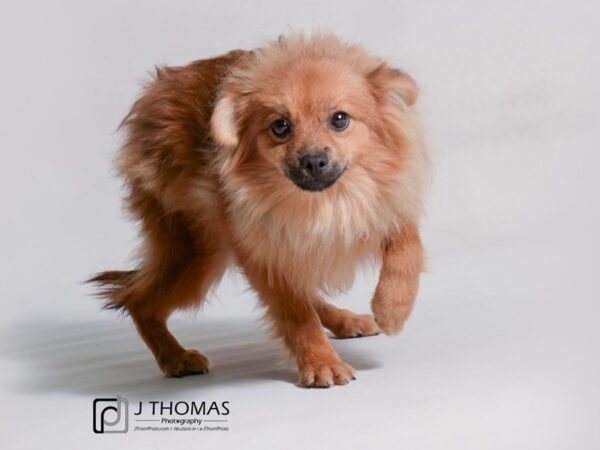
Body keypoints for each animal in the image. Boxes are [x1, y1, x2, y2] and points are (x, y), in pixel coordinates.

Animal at [89, 34, 428, 386]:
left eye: (339, 119)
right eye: (280, 126)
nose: (313, 161)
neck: (326, 203)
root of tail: (153, 94)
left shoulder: (387, 204)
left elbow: (408, 249)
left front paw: (392, 308)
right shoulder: (264, 254)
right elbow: (295, 313)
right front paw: (321, 363)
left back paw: (344, 320)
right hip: (196, 253)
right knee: (139, 302)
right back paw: (175, 357)